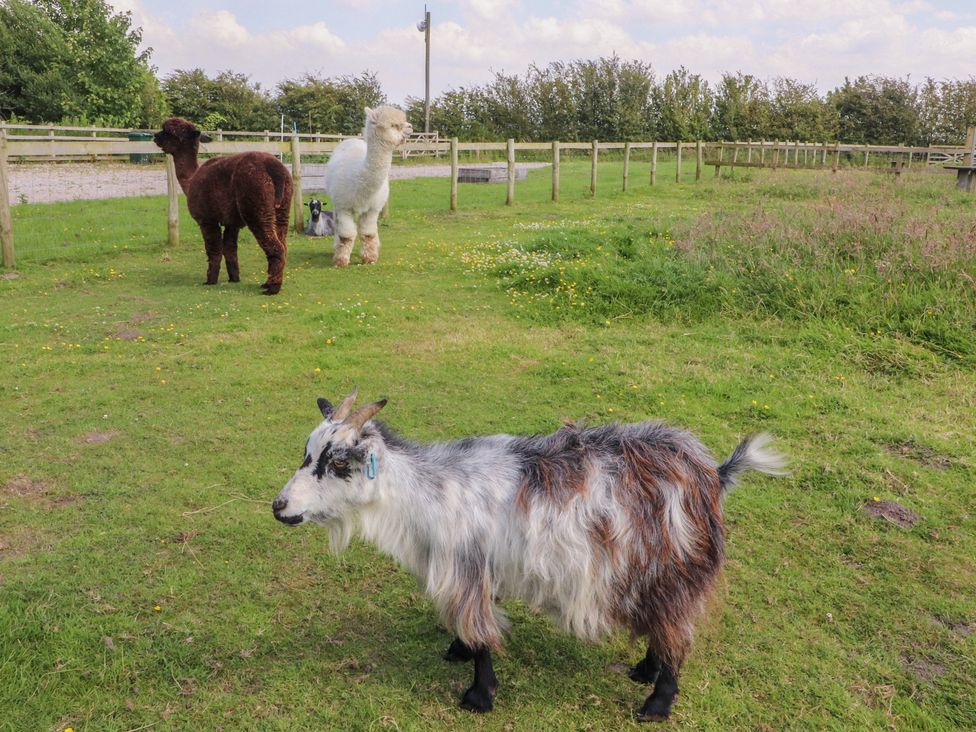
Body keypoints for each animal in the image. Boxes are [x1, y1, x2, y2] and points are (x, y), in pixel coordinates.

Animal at [272, 388, 784, 720]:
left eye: (338, 462)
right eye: (307, 453)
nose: (280, 507)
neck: (430, 494)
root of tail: (714, 474)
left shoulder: (467, 568)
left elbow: (482, 633)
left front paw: (478, 695)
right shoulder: (483, 570)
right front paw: (457, 651)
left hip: (675, 566)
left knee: (678, 631)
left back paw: (656, 704)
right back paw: (644, 670)